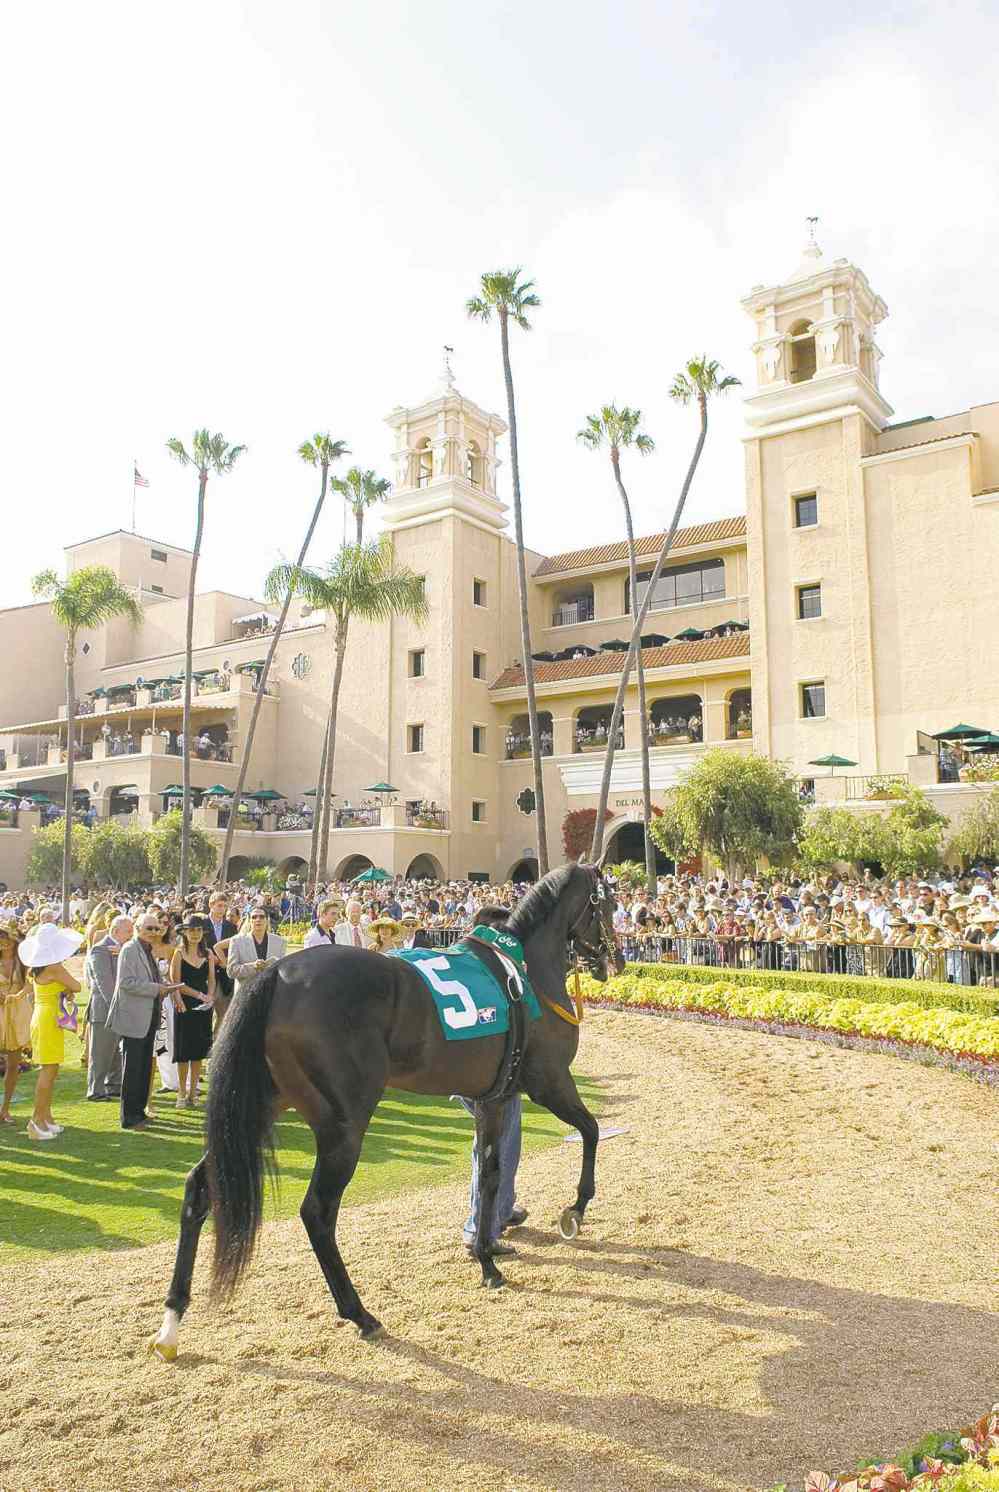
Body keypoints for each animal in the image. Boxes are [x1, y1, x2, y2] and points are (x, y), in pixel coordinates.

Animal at [149, 863, 622, 1358]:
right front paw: (576, 1208)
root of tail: (276, 975)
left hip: (256, 1107)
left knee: (201, 1188)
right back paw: (359, 1312)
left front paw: (487, 1255)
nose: (616, 962)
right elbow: (591, 1130)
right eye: (608, 903)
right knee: (317, 1212)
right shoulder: (550, 1082)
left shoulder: (493, 1099)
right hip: (342, 1126)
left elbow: (490, 1174)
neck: (524, 971)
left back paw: (171, 1320)